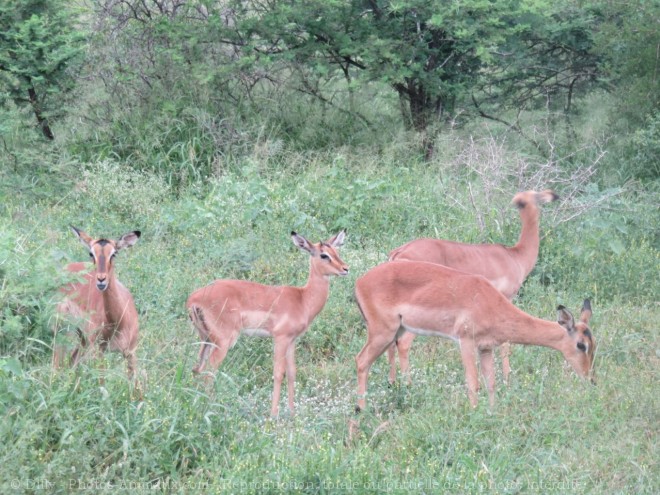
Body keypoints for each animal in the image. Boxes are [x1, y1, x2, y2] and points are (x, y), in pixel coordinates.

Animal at [54, 228, 142, 380]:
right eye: (91, 253)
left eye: (114, 253)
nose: (101, 279)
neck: (118, 322)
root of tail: (67, 267)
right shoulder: (99, 352)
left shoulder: (130, 352)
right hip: (62, 329)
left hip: (83, 338)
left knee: (72, 361)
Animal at [186, 231, 348, 416]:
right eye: (324, 255)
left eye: (337, 252)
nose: (345, 269)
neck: (303, 299)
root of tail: (194, 298)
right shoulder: (280, 338)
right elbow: (278, 373)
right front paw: (273, 415)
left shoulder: (292, 340)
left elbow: (292, 372)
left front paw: (292, 414)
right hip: (223, 341)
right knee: (209, 371)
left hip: (206, 339)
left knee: (198, 368)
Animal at [356, 260, 600, 410]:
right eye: (581, 345)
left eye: (594, 344)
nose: (591, 379)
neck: (490, 303)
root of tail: (360, 282)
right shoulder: (465, 341)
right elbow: (473, 383)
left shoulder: (486, 348)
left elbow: (491, 383)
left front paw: (492, 413)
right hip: (382, 332)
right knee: (361, 361)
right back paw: (361, 410)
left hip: (396, 330)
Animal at [386, 190, 556, 388]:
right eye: (536, 195)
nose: (553, 195)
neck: (515, 256)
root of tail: (398, 253)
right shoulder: (505, 299)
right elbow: (505, 342)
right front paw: (507, 378)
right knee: (403, 343)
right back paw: (408, 385)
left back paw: (393, 382)